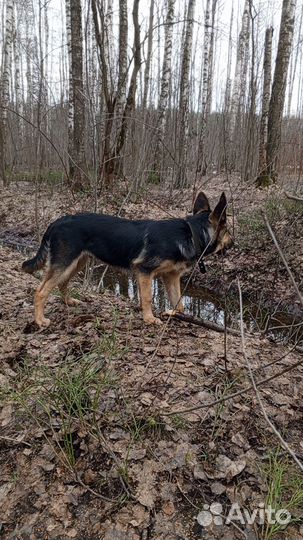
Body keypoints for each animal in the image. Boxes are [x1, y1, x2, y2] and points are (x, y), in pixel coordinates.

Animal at [22, 192, 234, 326]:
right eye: (228, 231)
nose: (234, 243)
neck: (192, 234)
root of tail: (56, 221)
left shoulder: (171, 276)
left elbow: (179, 304)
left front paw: (171, 313)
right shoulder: (145, 271)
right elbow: (147, 297)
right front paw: (149, 319)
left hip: (77, 263)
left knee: (62, 283)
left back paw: (69, 302)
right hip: (65, 263)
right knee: (40, 292)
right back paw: (40, 320)